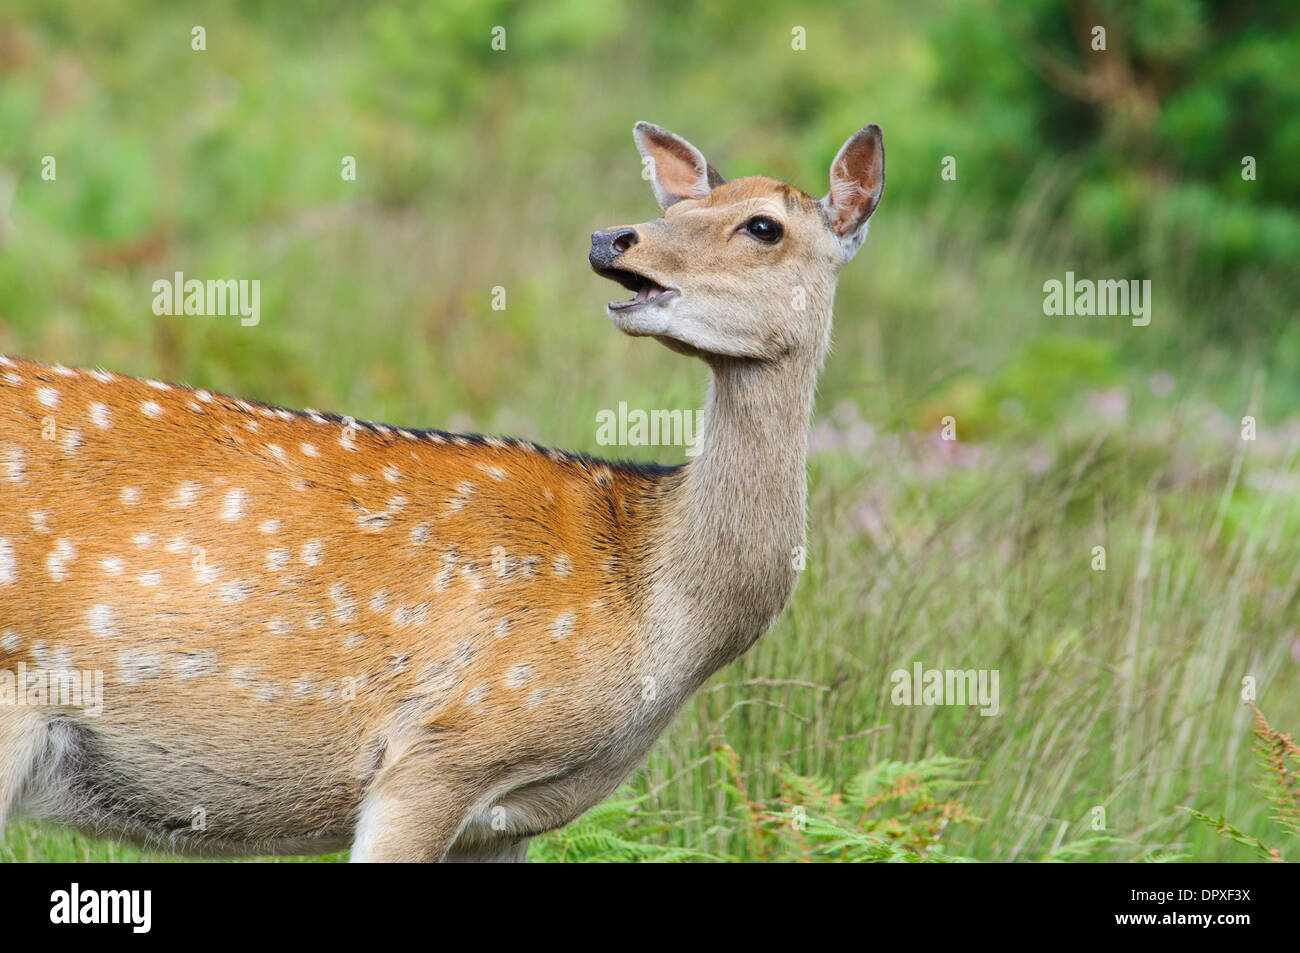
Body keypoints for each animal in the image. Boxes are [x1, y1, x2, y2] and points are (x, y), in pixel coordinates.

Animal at [0, 122, 883, 858]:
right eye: (685, 202)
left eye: (763, 225)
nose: (610, 237)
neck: (656, 609)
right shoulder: (441, 748)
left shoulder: (510, 820)